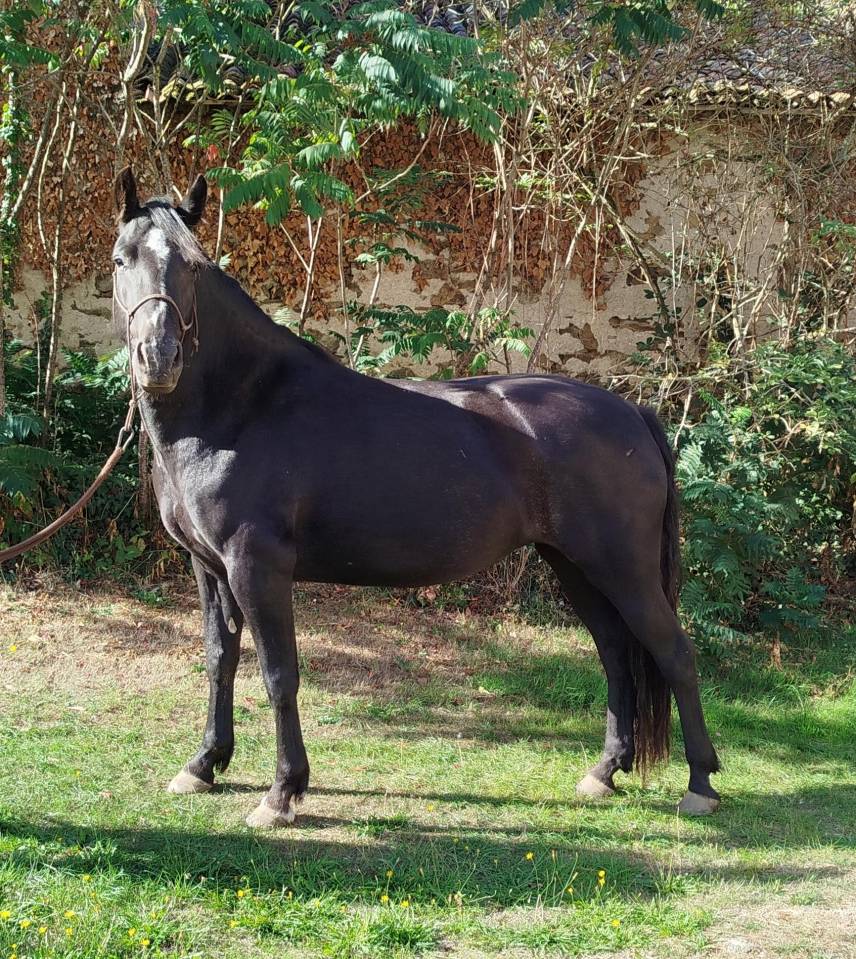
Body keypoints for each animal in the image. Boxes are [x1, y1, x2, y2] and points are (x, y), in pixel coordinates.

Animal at [111, 168, 720, 828]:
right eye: (122, 259)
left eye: (193, 268)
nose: (159, 358)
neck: (241, 408)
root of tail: (632, 414)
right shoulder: (209, 567)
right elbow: (219, 660)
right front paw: (203, 765)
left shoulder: (256, 567)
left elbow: (278, 674)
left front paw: (282, 793)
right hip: (574, 565)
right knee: (614, 651)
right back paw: (604, 773)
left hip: (623, 568)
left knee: (674, 653)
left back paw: (701, 785)